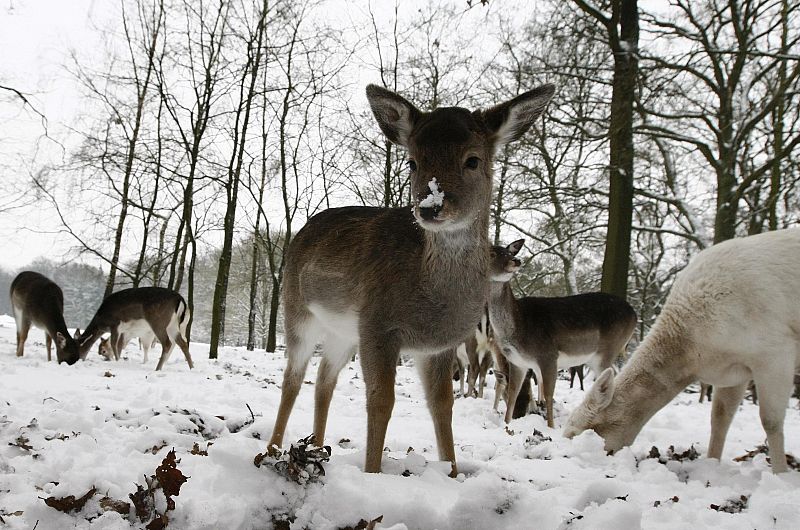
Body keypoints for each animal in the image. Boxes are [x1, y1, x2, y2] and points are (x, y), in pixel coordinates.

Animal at [268, 82, 556, 474]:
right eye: (412, 161)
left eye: (473, 159)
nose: (430, 206)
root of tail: (302, 230)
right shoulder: (379, 325)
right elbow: (381, 401)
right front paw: (372, 471)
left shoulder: (438, 345)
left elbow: (442, 406)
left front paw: (451, 471)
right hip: (297, 309)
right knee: (292, 378)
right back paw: (273, 449)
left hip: (344, 332)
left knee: (325, 379)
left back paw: (317, 447)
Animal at [488, 241, 636, 426]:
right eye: (492, 254)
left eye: (509, 252)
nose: (516, 261)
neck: (518, 325)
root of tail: (634, 314)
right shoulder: (517, 361)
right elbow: (513, 392)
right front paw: (507, 424)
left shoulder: (548, 356)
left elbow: (549, 394)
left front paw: (550, 426)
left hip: (608, 349)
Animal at [564, 227, 800, 470]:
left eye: (579, 432)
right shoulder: (733, 370)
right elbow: (720, 416)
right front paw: (712, 463)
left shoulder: (774, 351)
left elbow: (770, 420)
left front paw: (780, 472)